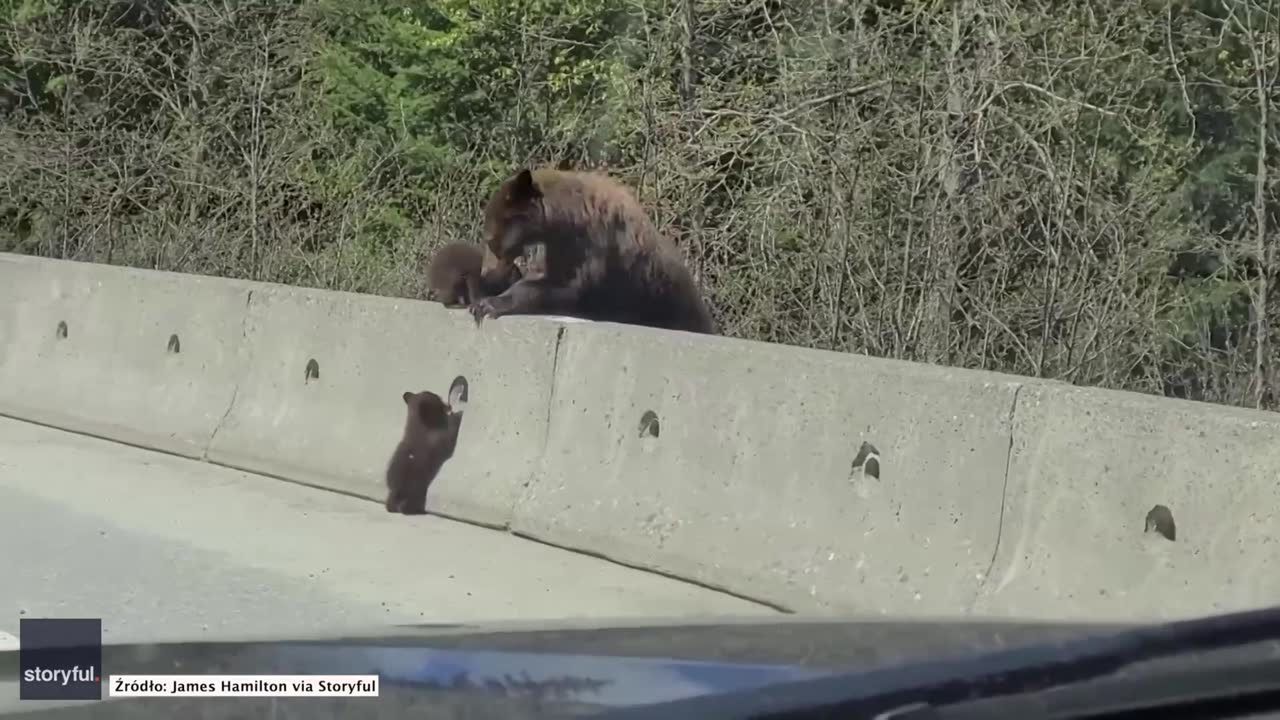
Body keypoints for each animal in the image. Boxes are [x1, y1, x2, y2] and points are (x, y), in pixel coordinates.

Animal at [471, 167, 716, 333]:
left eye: (490, 241)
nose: (485, 272)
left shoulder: (594, 241)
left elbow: (569, 285)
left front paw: (488, 304)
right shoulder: (559, 245)